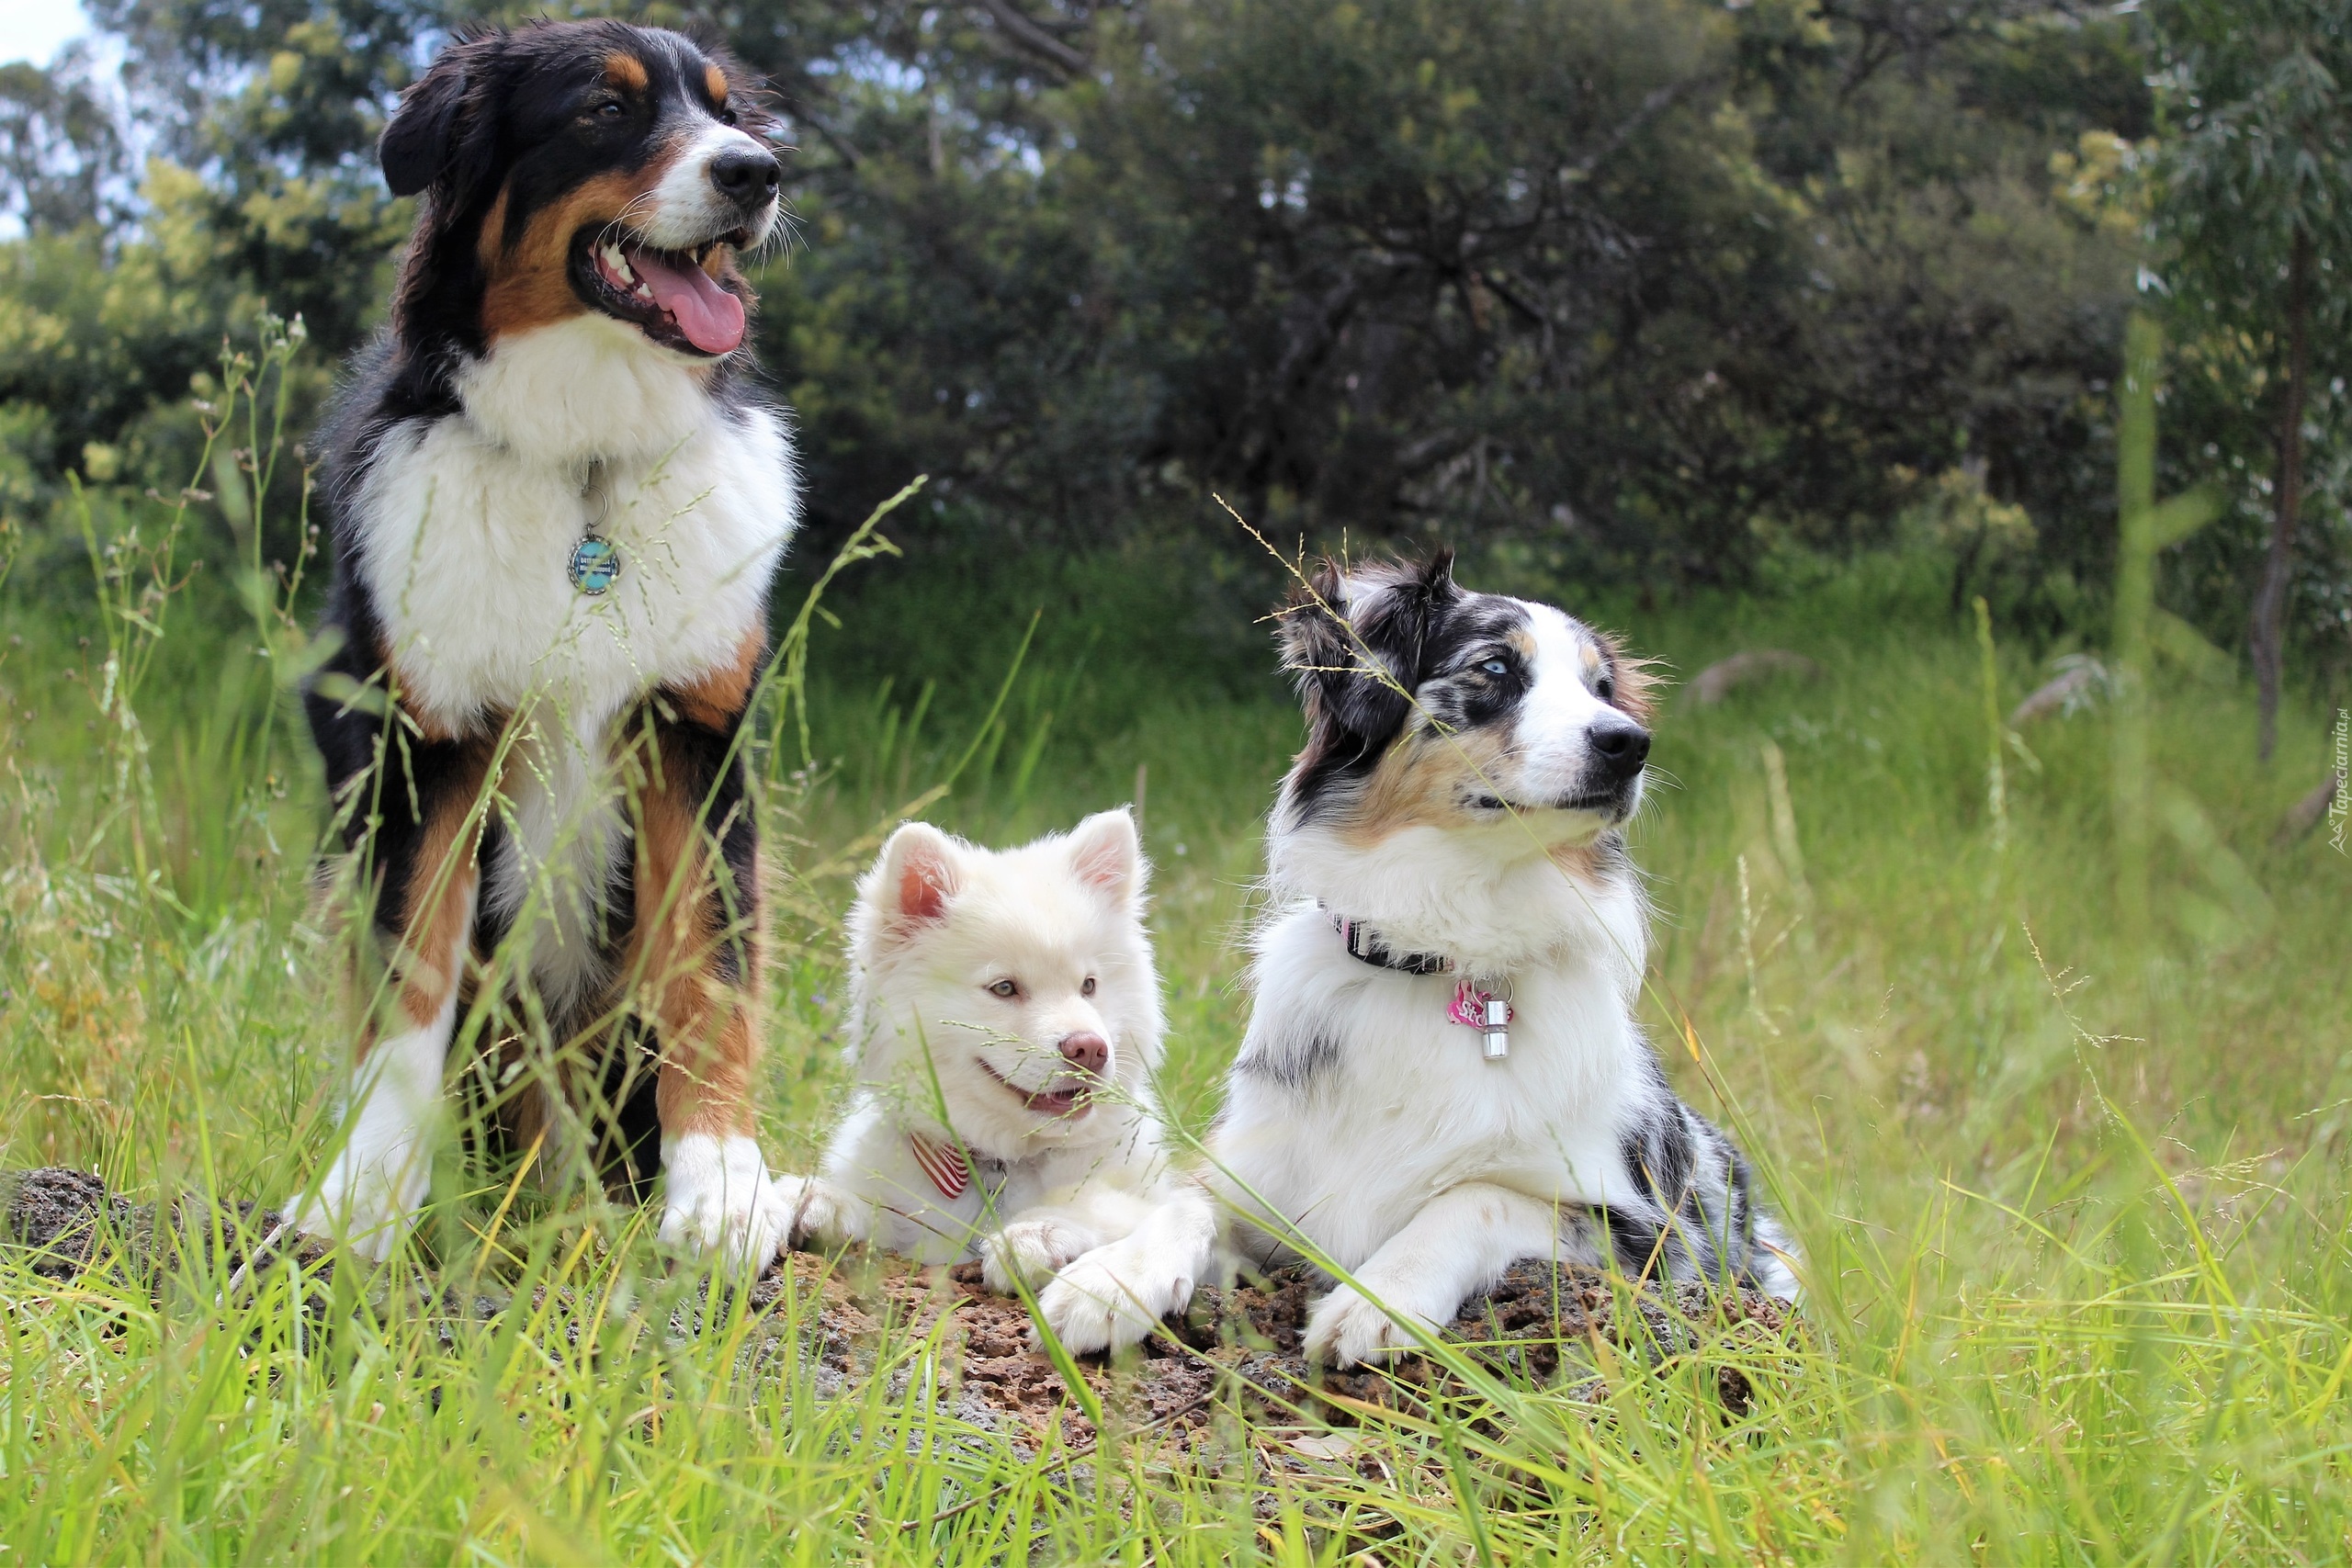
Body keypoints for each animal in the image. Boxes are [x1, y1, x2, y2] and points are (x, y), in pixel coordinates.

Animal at [282, 24, 799, 1269]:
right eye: (601, 113)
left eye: (727, 112)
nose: (757, 174)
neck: (585, 473)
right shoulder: (424, 751)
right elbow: (408, 989)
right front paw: (361, 1199)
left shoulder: (691, 737)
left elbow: (708, 979)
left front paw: (720, 1189)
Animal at [775, 808, 1213, 1354]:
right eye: (1004, 988)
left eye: (1089, 985)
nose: (1090, 1049)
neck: (999, 1162)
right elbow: (877, 1213)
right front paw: (822, 1200)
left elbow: (1135, 1213)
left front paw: (1042, 1235)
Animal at [1213, 557, 1796, 1363]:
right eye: (1493, 667)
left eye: (1600, 687)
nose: (1630, 742)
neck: (1447, 951)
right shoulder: (1253, 1173)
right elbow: (1175, 1202)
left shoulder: (1646, 1232)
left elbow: (1474, 1195)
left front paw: (1376, 1299)